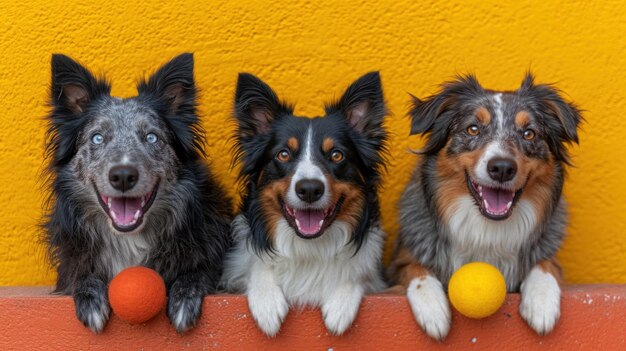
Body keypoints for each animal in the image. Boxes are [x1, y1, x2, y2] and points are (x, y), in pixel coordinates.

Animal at [44, 53, 233, 334]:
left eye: (152, 137)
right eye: (97, 138)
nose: (123, 176)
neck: (129, 239)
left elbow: (199, 271)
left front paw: (185, 296)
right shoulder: (70, 267)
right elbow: (80, 274)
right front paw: (89, 297)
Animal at [219, 72, 386, 338]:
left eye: (337, 155)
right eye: (283, 154)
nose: (309, 189)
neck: (309, 247)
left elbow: (356, 271)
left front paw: (340, 305)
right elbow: (257, 266)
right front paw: (267, 304)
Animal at [390, 73, 580, 340]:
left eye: (529, 133)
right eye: (473, 129)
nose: (502, 168)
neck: (487, 228)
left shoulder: (548, 255)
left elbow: (545, 264)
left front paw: (542, 303)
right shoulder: (398, 263)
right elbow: (417, 269)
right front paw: (433, 309)